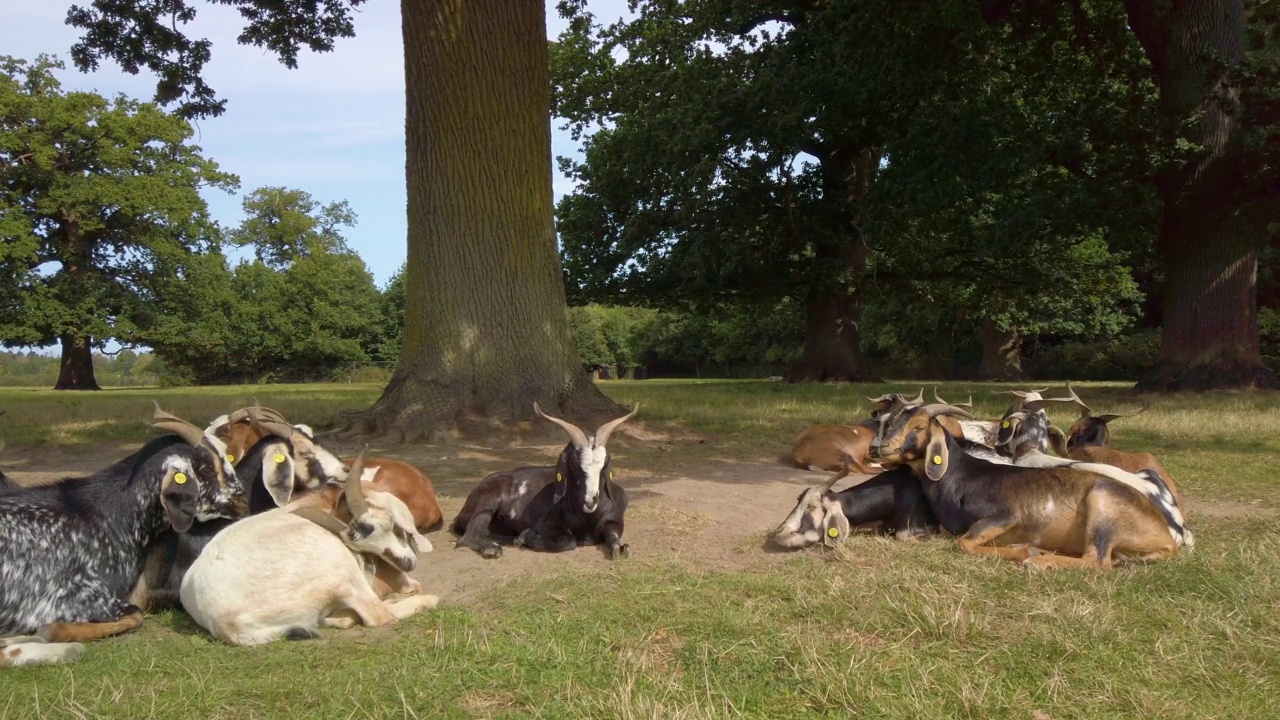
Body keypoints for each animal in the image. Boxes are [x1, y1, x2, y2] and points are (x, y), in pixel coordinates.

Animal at [0, 407, 247, 666]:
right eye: (207, 467)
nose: (242, 499)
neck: (108, 516)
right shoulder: (70, 595)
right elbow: (136, 615)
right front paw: (49, 631)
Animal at [177, 448, 440, 645]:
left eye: (392, 524)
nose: (407, 563)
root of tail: (227, 624)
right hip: (340, 568)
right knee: (377, 614)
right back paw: (426, 601)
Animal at [458, 399, 640, 558]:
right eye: (574, 464)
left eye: (604, 465)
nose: (590, 501)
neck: (589, 518)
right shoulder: (546, 524)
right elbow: (569, 541)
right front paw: (526, 536)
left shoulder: (614, 520)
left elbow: (614, 536)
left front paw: (621, 548)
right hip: (488, 501)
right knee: (470, 535)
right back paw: (492, 548)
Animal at [870, 404, 1187, 566]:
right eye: (893, 422)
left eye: (919, 427)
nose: (880, 448)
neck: (960, 475)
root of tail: (1167, 538)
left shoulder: (1004, 516)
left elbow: (965, 543)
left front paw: (1025, 551)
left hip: (1103, 502)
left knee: (1095, 561)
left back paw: (1038, 561)